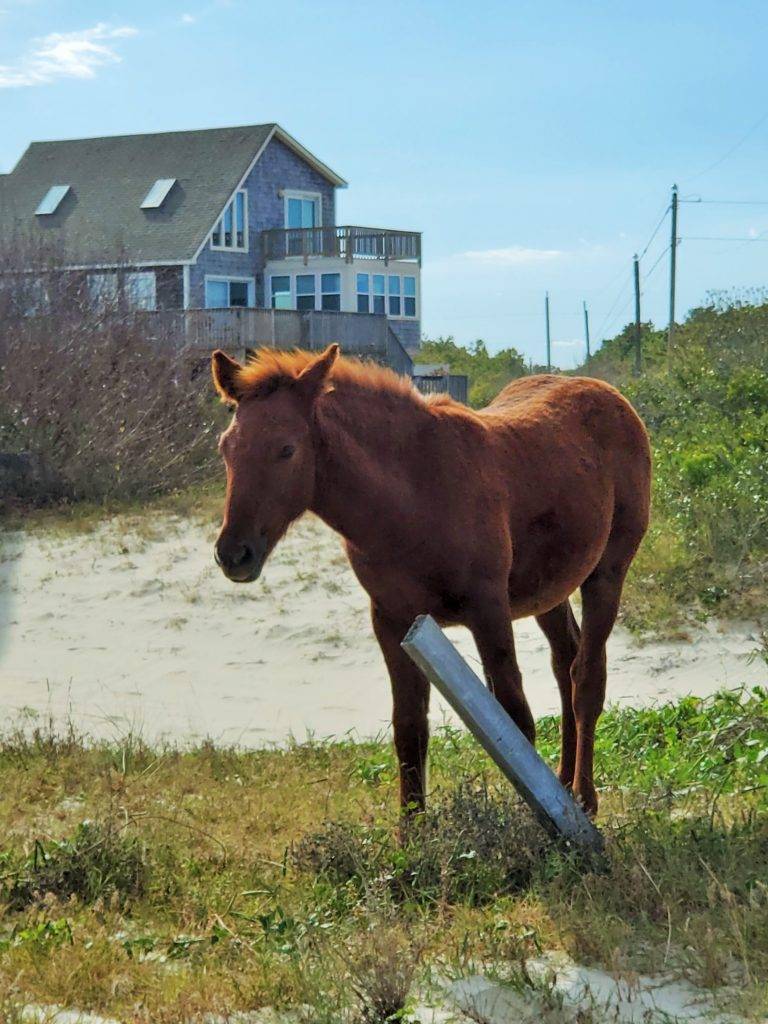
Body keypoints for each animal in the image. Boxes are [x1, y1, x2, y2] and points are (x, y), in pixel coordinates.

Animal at [214, 344, 651, 815]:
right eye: (226, 448)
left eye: (287, 449)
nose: (233, 553)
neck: (412, 498)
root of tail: (613, 397)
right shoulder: (392, 621)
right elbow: (409, 731)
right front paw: (412, 829)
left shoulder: (488, 611)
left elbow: (515, 719)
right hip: (549, 591)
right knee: (564, 662)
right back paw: (564, 784)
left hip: (606, 573)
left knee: (586, 676)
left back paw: (582, 796)